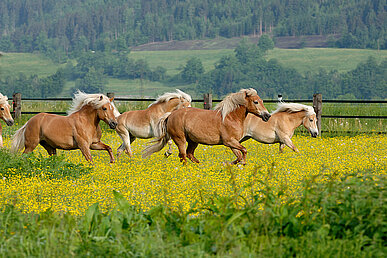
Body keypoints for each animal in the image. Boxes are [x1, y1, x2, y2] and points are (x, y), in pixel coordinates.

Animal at [141, 88, 272, 164]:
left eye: (261, 101)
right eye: (256, 102)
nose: (267, 116)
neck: (230, 117)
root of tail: (170, 115)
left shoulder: (233, 143)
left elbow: (239, 155)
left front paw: (234, 163)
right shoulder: (229, 141)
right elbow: (244, 151)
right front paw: (240, 164)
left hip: (193, 141)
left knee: (189, 154)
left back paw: (199, 167)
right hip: (180, 139)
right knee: (183, 156)